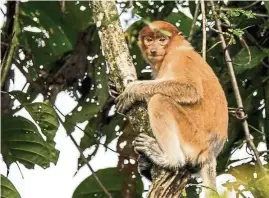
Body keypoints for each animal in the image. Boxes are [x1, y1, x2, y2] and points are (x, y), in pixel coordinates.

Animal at [114, 20, 227, 196]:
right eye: (149, 39)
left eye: (162, 39)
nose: (153, 50)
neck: (173, 49)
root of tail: (210, 153)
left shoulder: (180, 59)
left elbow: (190, 89)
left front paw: (132, 90)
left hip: (193, 138)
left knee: (160, 101)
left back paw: (170, 160)